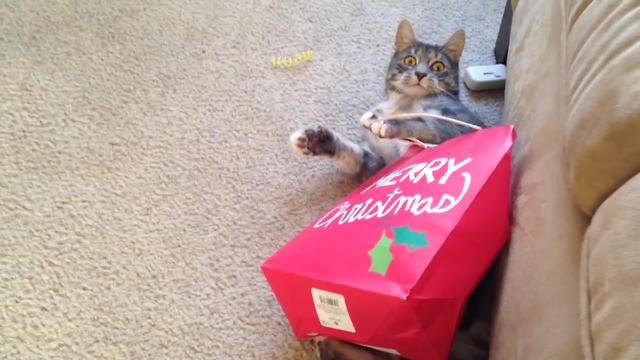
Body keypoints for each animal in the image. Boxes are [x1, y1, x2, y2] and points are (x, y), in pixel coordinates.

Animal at [290, 20, 496, 360]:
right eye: (410, 60)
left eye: (437, 66)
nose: (421, 74)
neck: (403, 102)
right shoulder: (375, 166)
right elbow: (352, 152)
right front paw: (315, 139)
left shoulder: (455, 125)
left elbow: (423, 119)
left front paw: (385, 123)